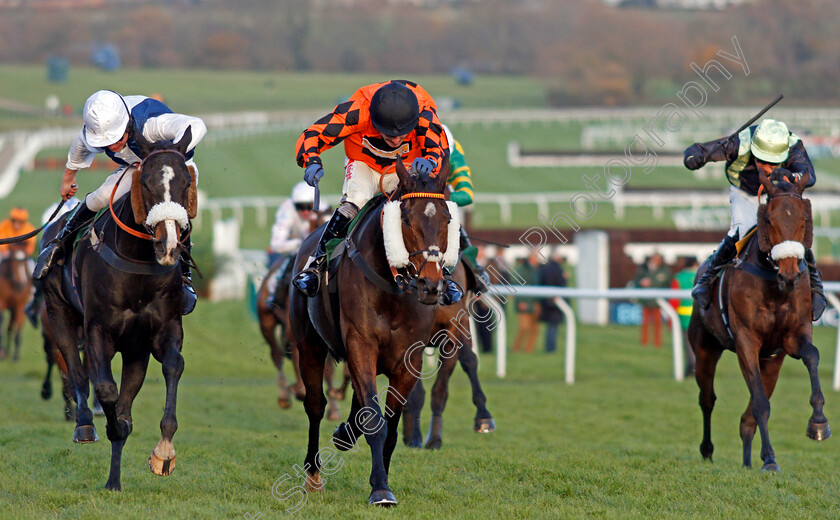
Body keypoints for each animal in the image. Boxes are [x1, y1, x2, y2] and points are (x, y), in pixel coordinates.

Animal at [41, 127, 197, 492]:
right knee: (76, 372)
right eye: (147, 183)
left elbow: (173, 366)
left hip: (134, 348)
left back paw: (114, 480)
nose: (169, 246)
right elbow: (105, 390)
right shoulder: (98, 330)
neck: (136, 262)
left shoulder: (162, 329)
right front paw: (107, 426)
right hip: (58, 314)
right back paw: (84, 424)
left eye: (186, 183)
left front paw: (164, 453)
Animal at [290, 157, 460, 504]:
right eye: (405, 219)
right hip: (309, 346)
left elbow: (390, 426)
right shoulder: (360, 343)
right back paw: (313, 475)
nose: (431, 285)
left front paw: (378, 477)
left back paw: (344, 434)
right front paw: (380, 488)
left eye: (448, 218)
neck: (393, 287)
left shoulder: (409, 359)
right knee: (315, 405)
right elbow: (373, 419)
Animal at [692, 170, 832, 472]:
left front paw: (818, 423)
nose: (789, 276)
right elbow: (760, 404)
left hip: (771, 362)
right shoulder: (747, 340)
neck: (772, 283)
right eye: (769, 219)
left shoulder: (792, 336)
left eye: (804, 220)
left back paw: (749, 462)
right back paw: (708, 450)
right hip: (705, 347)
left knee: (747, 419)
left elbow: (812, 356)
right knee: (707, 399)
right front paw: (769, 459)